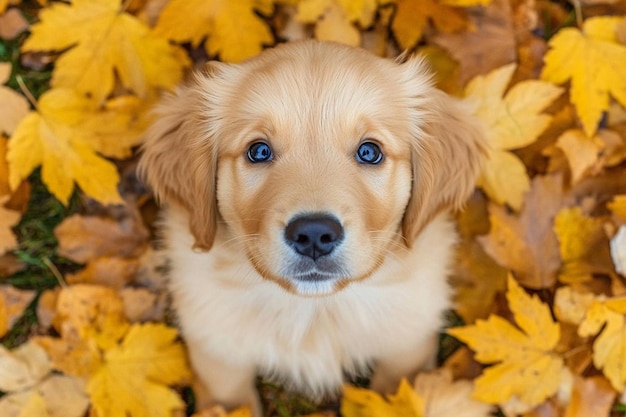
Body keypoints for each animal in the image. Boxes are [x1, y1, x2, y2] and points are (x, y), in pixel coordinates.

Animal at [139, 40, 486, 414]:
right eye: (258, 151)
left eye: (370, 152)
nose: (314, 235)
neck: (315, 311)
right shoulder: (218, 357)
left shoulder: (409, 344)